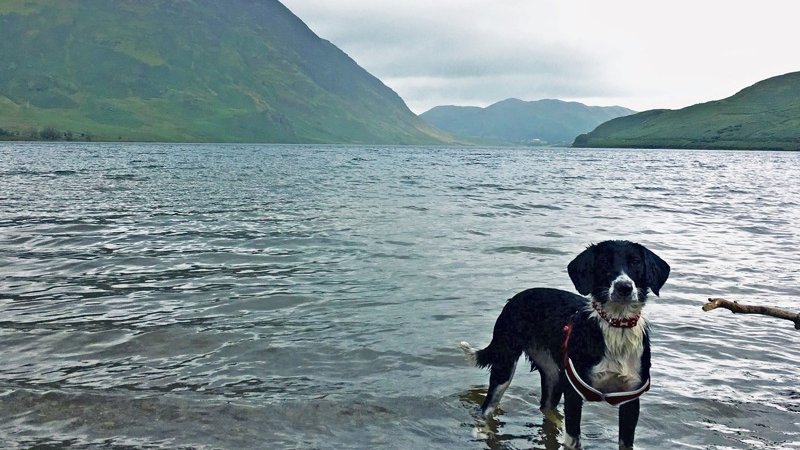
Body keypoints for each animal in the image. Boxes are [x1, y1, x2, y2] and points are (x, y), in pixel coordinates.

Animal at [460, 241, 672, 448]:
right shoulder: (573, 394)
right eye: (604, 262)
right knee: (487, 408)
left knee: (546, 407)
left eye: (636, 262)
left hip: (554, 375)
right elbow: (573, 439)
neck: (616, 327)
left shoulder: (631, 399)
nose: (624, 287)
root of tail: (514, 299)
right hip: (504, 365)